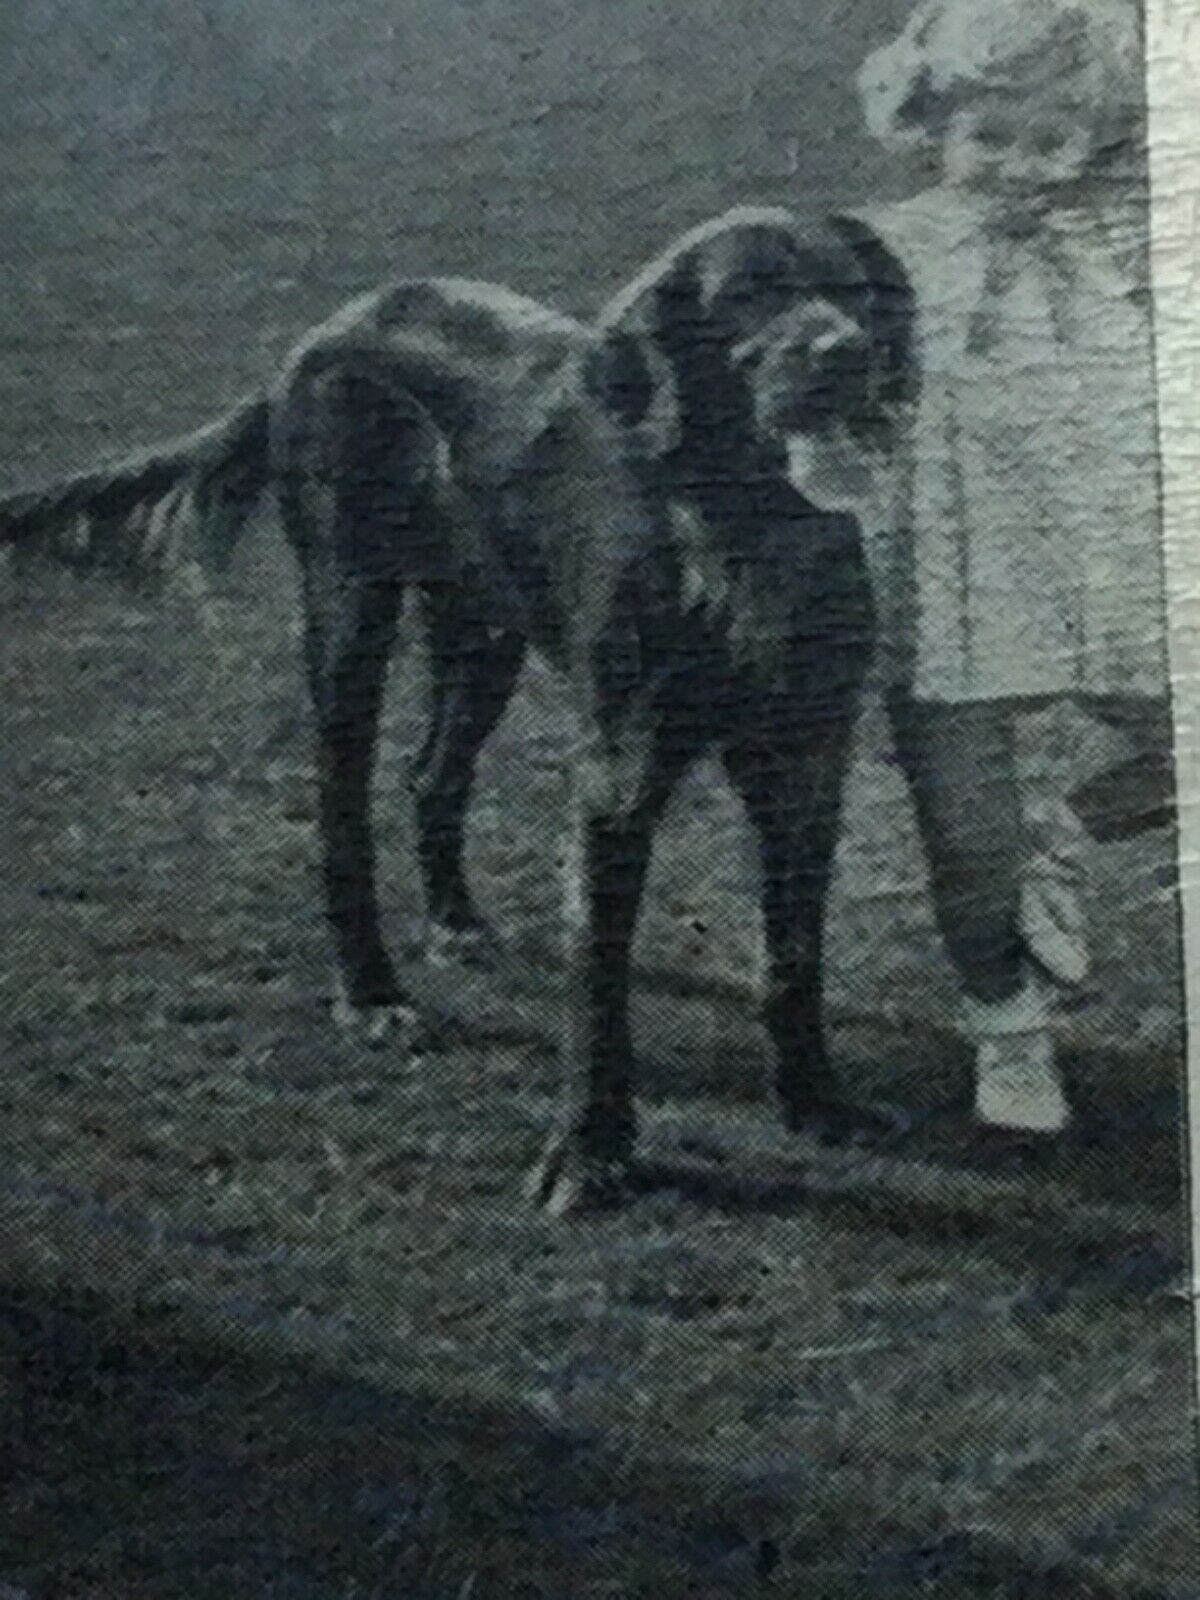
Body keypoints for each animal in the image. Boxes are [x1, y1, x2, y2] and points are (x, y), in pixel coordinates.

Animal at [4, 212, 915, 1209]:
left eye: (853, 290)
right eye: (748, 294)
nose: (846, 353)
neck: (743, 530)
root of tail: (318, 339)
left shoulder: (808, 756)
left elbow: (794, 953)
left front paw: (818, 1100)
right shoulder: (619, 766)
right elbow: (599, 980)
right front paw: (590, 1151)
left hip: (482, 631)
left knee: (431, 773)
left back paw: (454, 920)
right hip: (350, 613)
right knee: (342, 812)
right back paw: (371, 994)